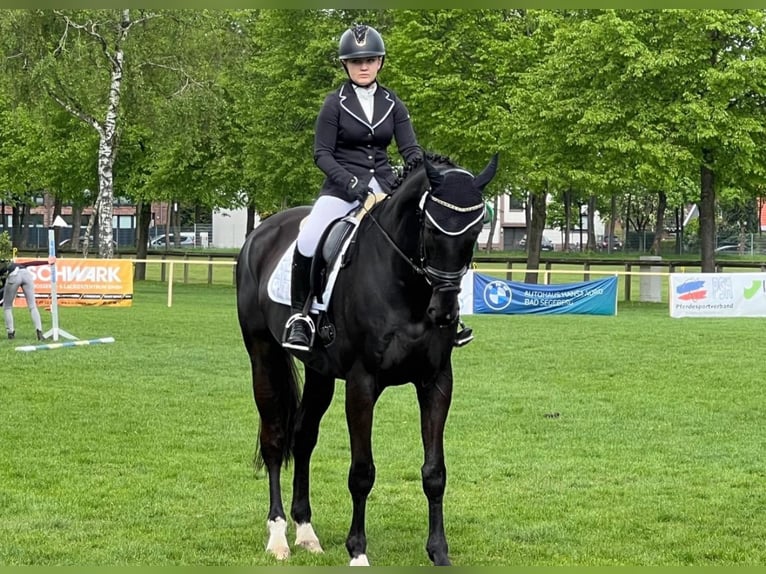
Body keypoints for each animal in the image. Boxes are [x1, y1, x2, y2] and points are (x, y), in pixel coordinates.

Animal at [236, 153, 498, 568]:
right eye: (431, 229)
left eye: (474, 234)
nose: (444, 312)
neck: (406, 285)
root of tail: (260, 234)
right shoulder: (362, 384)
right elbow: (361, 471)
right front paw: (358, 550)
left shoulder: (437, 381)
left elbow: (434, 472)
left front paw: (438, 551)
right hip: (264, 356)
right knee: (275, 438)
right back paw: (278, 537)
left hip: (319, 372)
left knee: (303, 436)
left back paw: (306, 532)